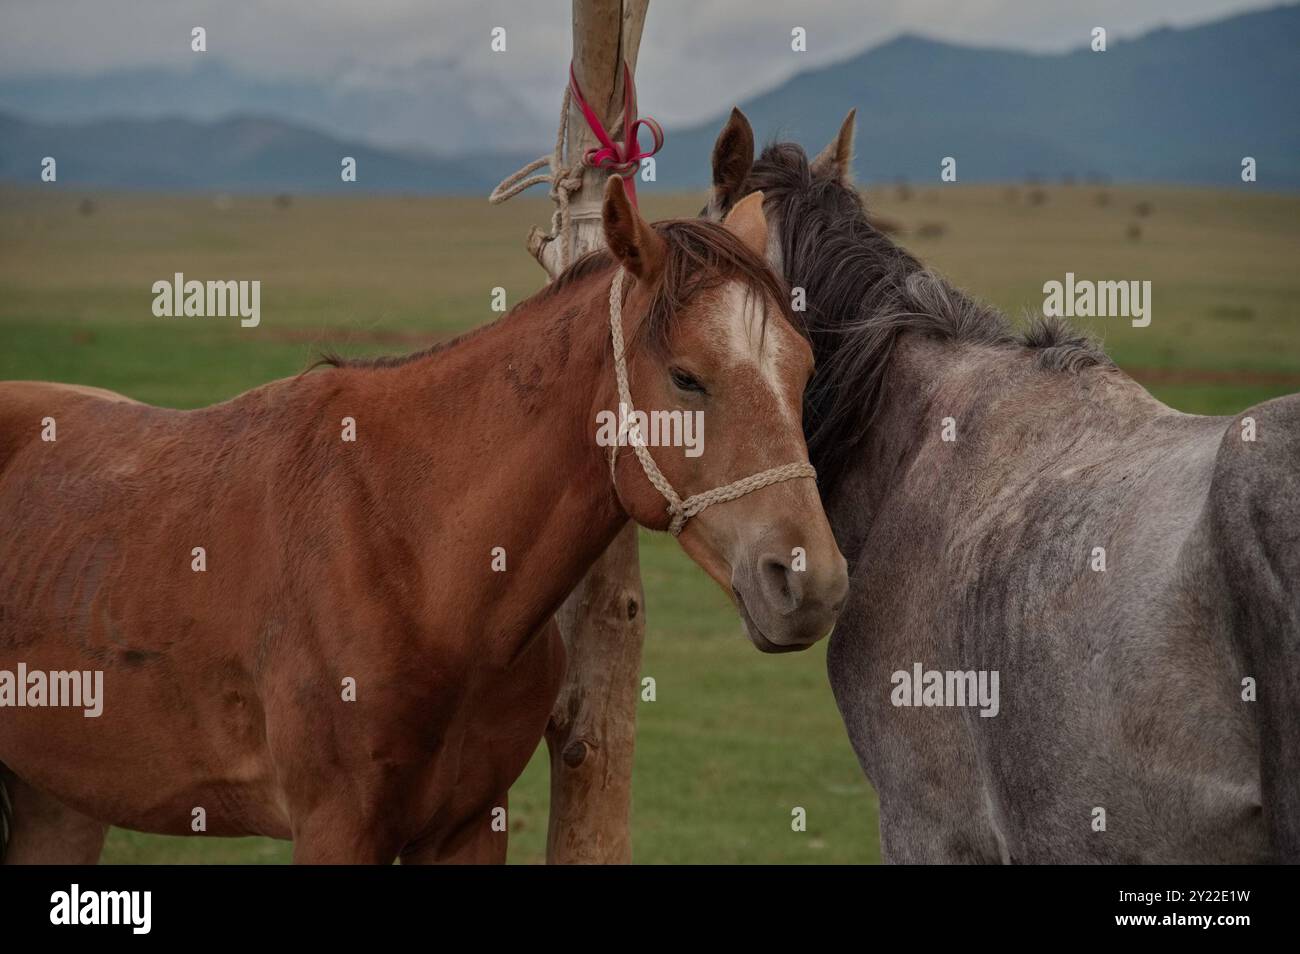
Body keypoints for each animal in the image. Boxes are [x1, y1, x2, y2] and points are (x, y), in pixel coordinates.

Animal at [0, 177, 848, 864]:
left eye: (806, 369)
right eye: (685, 378)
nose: (813, 582)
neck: (413, 557)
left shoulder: (470, 824)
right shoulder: (337, 827)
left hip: (58, 800)